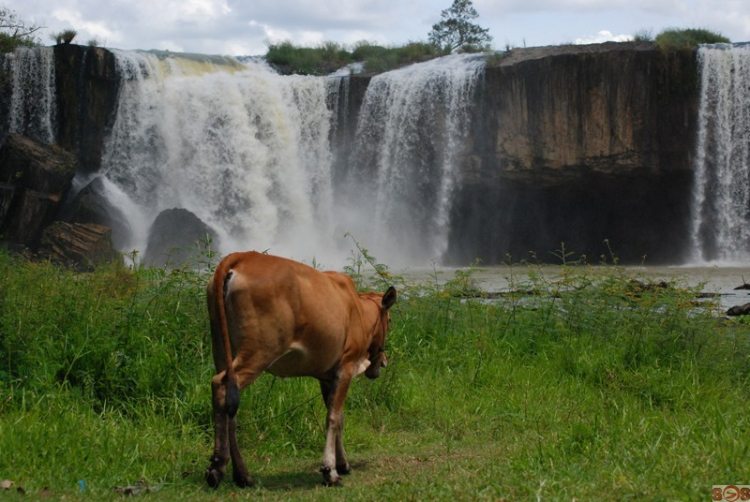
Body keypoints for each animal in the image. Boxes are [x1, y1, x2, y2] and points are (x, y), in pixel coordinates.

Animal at [203, 251, 396, 486]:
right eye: (389, 320)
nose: (384, 361)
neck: (358, 309)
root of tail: (242, 256)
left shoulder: (327, 376)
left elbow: (339, 418)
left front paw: (342, 463)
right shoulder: (346, 365)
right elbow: (333, 417)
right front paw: (330, 470)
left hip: (221, 349)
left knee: (229, 406)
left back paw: (242, 474)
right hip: (257, 352)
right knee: (221, 386)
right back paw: (218, 466)